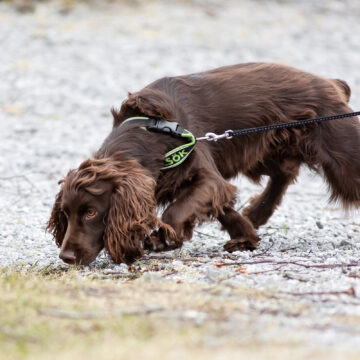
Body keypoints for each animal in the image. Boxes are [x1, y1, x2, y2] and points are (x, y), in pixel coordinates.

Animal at [48, 62, 360, 266]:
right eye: (66, 213)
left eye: (91, 212)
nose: (66, 257)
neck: (152, 130)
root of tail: (332, 83)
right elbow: (223, 206)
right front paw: (245, 235)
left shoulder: (204, 174)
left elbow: (177, 210)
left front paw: (163, 238)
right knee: (284, 172)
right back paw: (257, 213)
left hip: (343, 158)